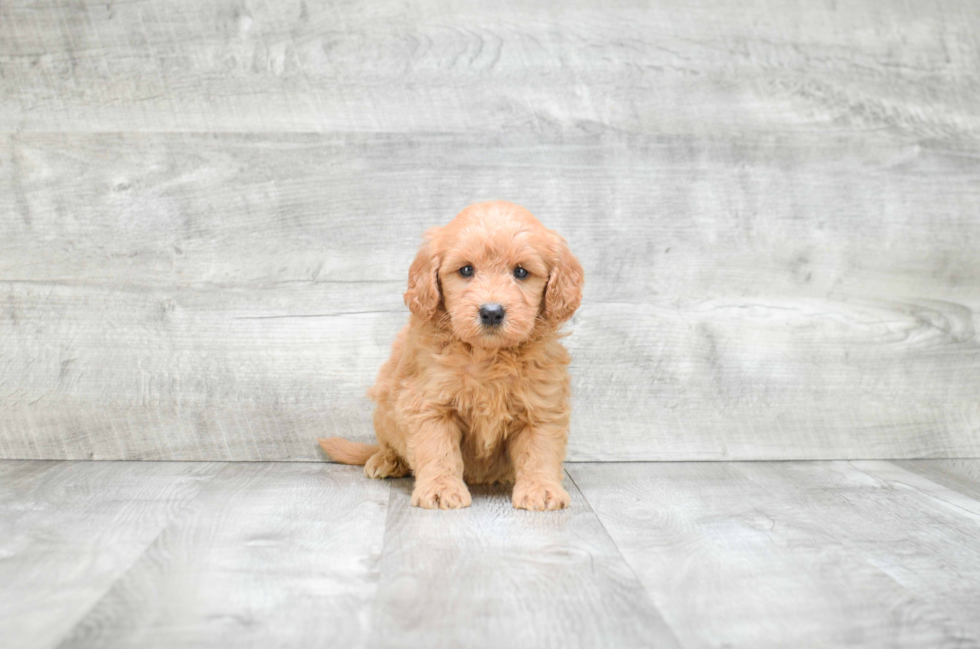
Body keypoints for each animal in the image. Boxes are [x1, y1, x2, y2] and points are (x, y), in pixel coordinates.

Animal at [320, 202, 580, 512]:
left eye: (521, 272)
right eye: (466, 270)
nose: (491, 312)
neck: (487, 355)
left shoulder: (541, 406)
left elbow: (539, 450)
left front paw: (541, 489)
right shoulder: (429, 403)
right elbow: (438, 450)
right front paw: (440, 489)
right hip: (383, 411)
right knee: (389, 444)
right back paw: (387, 460)